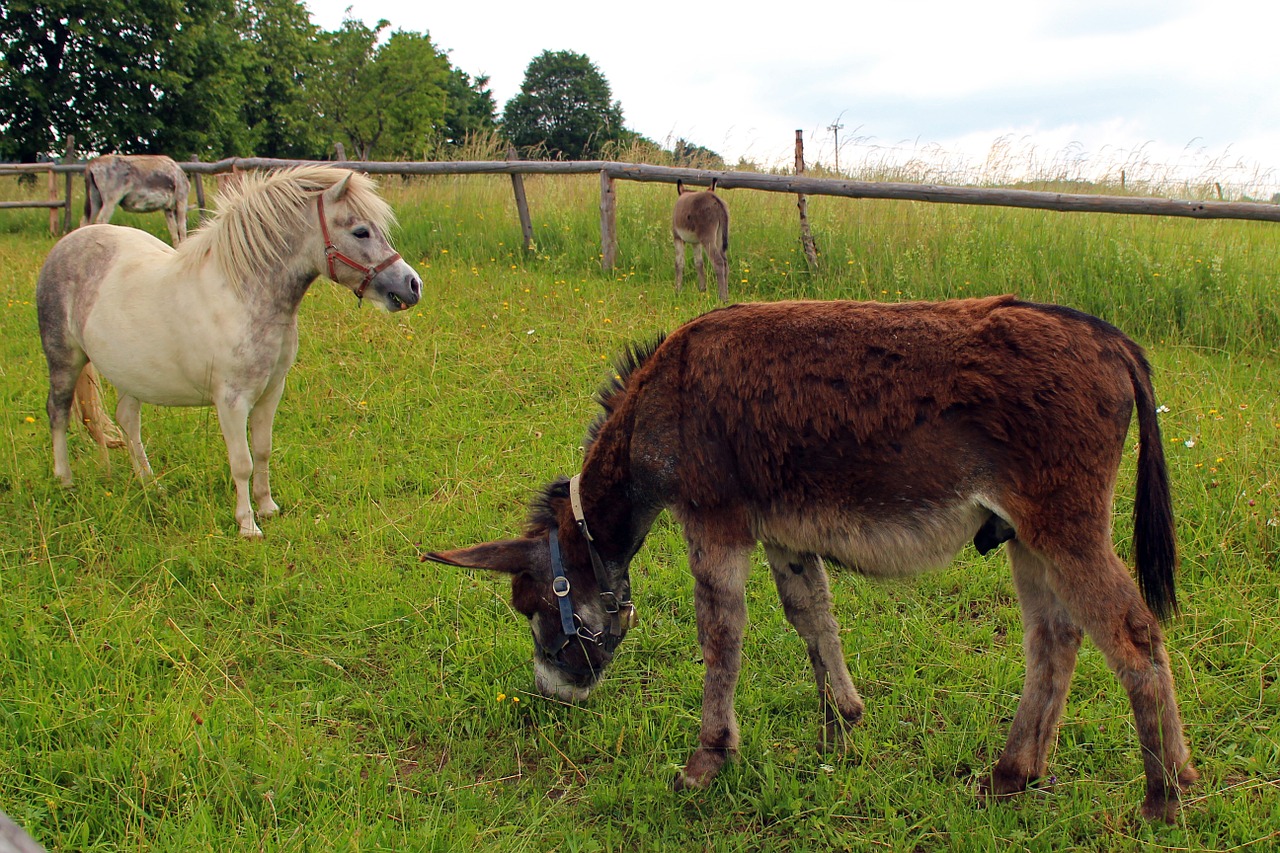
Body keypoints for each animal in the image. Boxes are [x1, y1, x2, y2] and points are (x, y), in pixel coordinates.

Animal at [36, 165, 419, 535]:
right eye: (361, 232)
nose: (412, 285)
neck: (241, 295)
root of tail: (66, 244)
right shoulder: (231, 402)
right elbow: (242, 463)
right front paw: (247, 525)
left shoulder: (270, 392)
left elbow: (262, 451)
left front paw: (267, 508)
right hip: (64, 360)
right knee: (58, 412)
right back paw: (65, 481)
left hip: (131, 375)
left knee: (128, 420)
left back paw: (149, 484)